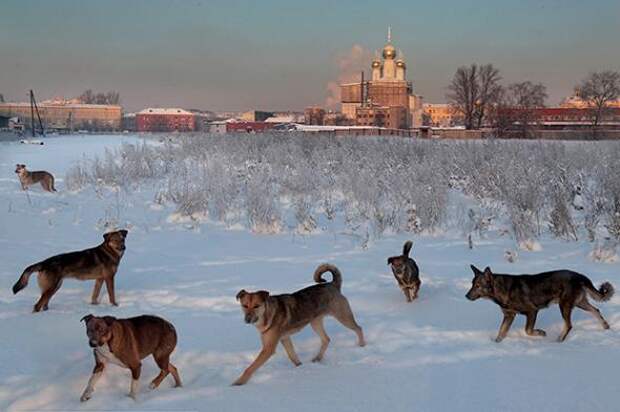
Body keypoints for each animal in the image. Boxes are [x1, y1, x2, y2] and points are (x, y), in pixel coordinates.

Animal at [235, 264, 366, 386]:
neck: (267, 314)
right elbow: (292, 356)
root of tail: (332, 284)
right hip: (315, 322)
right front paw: (300, 367)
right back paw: (317, 358)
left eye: (256, 306)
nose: (247, 319)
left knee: (358, 328)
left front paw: (238, 383)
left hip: (342, 316)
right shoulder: (285, 338)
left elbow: (251, 367)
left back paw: (362, 345)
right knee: (326, 339)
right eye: (244, 305)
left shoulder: (269, 348)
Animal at [464, 266, 616, 342]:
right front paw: (496, 344)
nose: (466, 296)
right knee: (596, 310)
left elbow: (528, 330)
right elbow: (501, 332)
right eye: (472, 284)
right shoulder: (509, 315)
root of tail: (580, 276)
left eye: (478, 286)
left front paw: (541, 333)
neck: (502, 289)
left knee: (569, 325)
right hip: (579, 302)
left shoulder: (532, 311)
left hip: (564, 305)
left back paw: (559, 340)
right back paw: (605, 326)